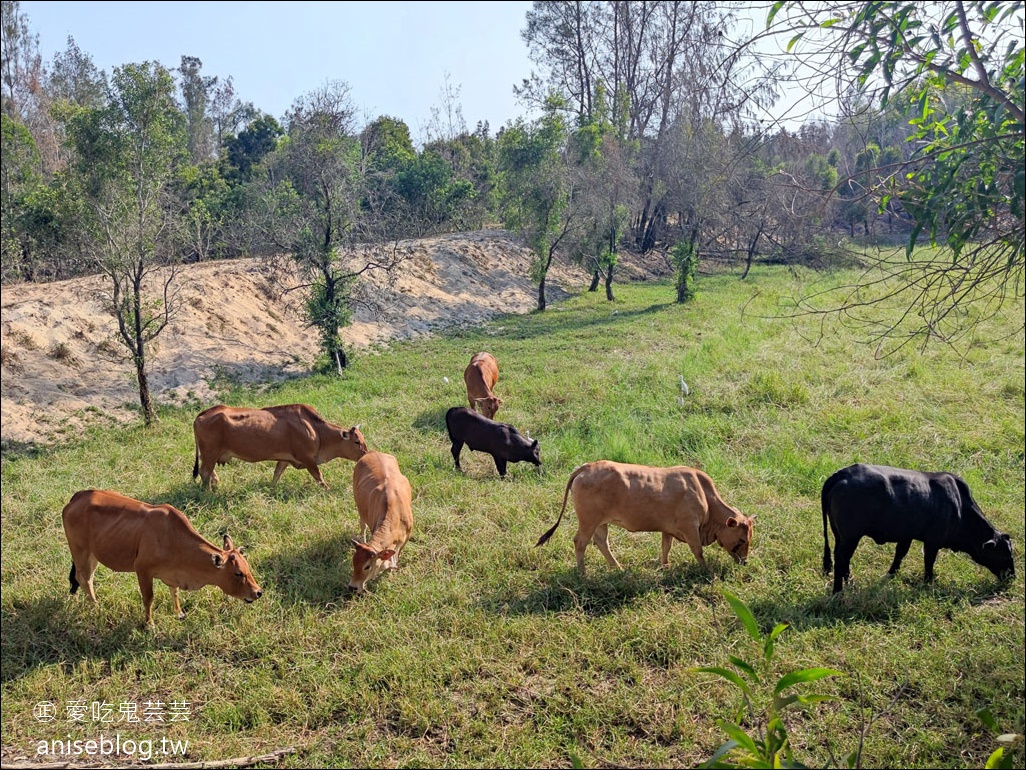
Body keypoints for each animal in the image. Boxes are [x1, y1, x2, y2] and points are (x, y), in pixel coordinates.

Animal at [62, 490, 262, 628]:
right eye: (238, 573)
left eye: (248, 568)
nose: (258, 592)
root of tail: (77, 496)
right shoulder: (142, 570)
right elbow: (148, 598)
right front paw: (149, 624)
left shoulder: (173, 575)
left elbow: (174, 592)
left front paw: (179, 613)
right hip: (81, 552)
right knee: (85, 579)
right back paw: (96, 607)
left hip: (93, 555)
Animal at [192, 404, 369, 488]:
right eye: (356, 442)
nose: (366, 454)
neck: (316, 430)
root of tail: (205, 413)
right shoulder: (308, 459)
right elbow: (319, 477)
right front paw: (328, 490)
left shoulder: (284, 459)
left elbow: (276, 474)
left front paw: (271, 488)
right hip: (210, 452)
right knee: (204, 472)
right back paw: (208, 492)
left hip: (208, 454)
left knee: (209, 472)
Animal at [348, 451, 412, 595]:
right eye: (353, 563)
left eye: (367, 566)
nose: (352, 587)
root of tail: (371, 452)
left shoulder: (407, 537)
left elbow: (397, 555)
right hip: (360, 510)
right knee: (362, 527)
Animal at [537, 462, 755, 574]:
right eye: (741, 539)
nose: (745, 562)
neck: (705, 496)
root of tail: (588, 467)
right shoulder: (690, 527)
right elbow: (698, 551)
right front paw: (707, 572)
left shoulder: (668, 529)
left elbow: (666, 547)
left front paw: (665, 566)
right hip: (588, 521)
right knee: (580, 542)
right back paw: (583, 573)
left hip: (600, 523)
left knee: (601, 542)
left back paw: (618, 567)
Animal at [820, 464, 1013, 595]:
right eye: (1004, 555)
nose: (1012, 576)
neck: (959, 506)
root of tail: (843, 473)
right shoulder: (933, 541)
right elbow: (929, 561)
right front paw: (929, 582)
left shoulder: (907, 535)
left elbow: (900, 554)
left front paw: (891, 575)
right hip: (850, 536)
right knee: (841, 559)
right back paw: (838, 592)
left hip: (840, 535)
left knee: (843, 559)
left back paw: (850, 583)